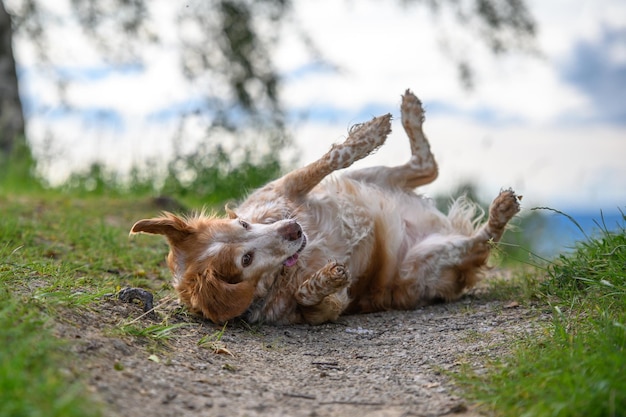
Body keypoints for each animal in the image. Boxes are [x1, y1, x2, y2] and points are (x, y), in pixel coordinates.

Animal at [129, 89, 520, 324]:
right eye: (246, 260)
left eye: (242, 225)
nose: (293, 228)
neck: (291, 265)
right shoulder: (326, 310)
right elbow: (309, 295)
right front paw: (326, 277)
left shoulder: (288, 187)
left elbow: (332, 157)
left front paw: (368, 135)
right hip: (427, 262)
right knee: (483, 237)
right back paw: (501, 209)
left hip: (370, 178)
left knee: (426, 166)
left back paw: (408, 115)